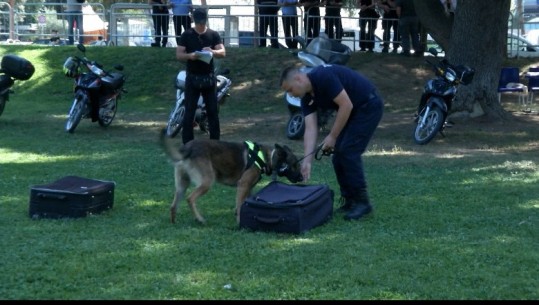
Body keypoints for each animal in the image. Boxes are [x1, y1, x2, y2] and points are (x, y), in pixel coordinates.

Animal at [159, 131, 304, 223]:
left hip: (182, 185)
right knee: (190, 198)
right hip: (207, 182)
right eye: (295, 165)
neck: (267, 156)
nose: (302, 178)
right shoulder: (243, 185)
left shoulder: (248, 188)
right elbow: (239, 205)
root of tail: (186, 149)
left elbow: (243, 203)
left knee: (173, 205)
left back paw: (174, 222)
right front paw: (239, 221)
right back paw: (199, 219)